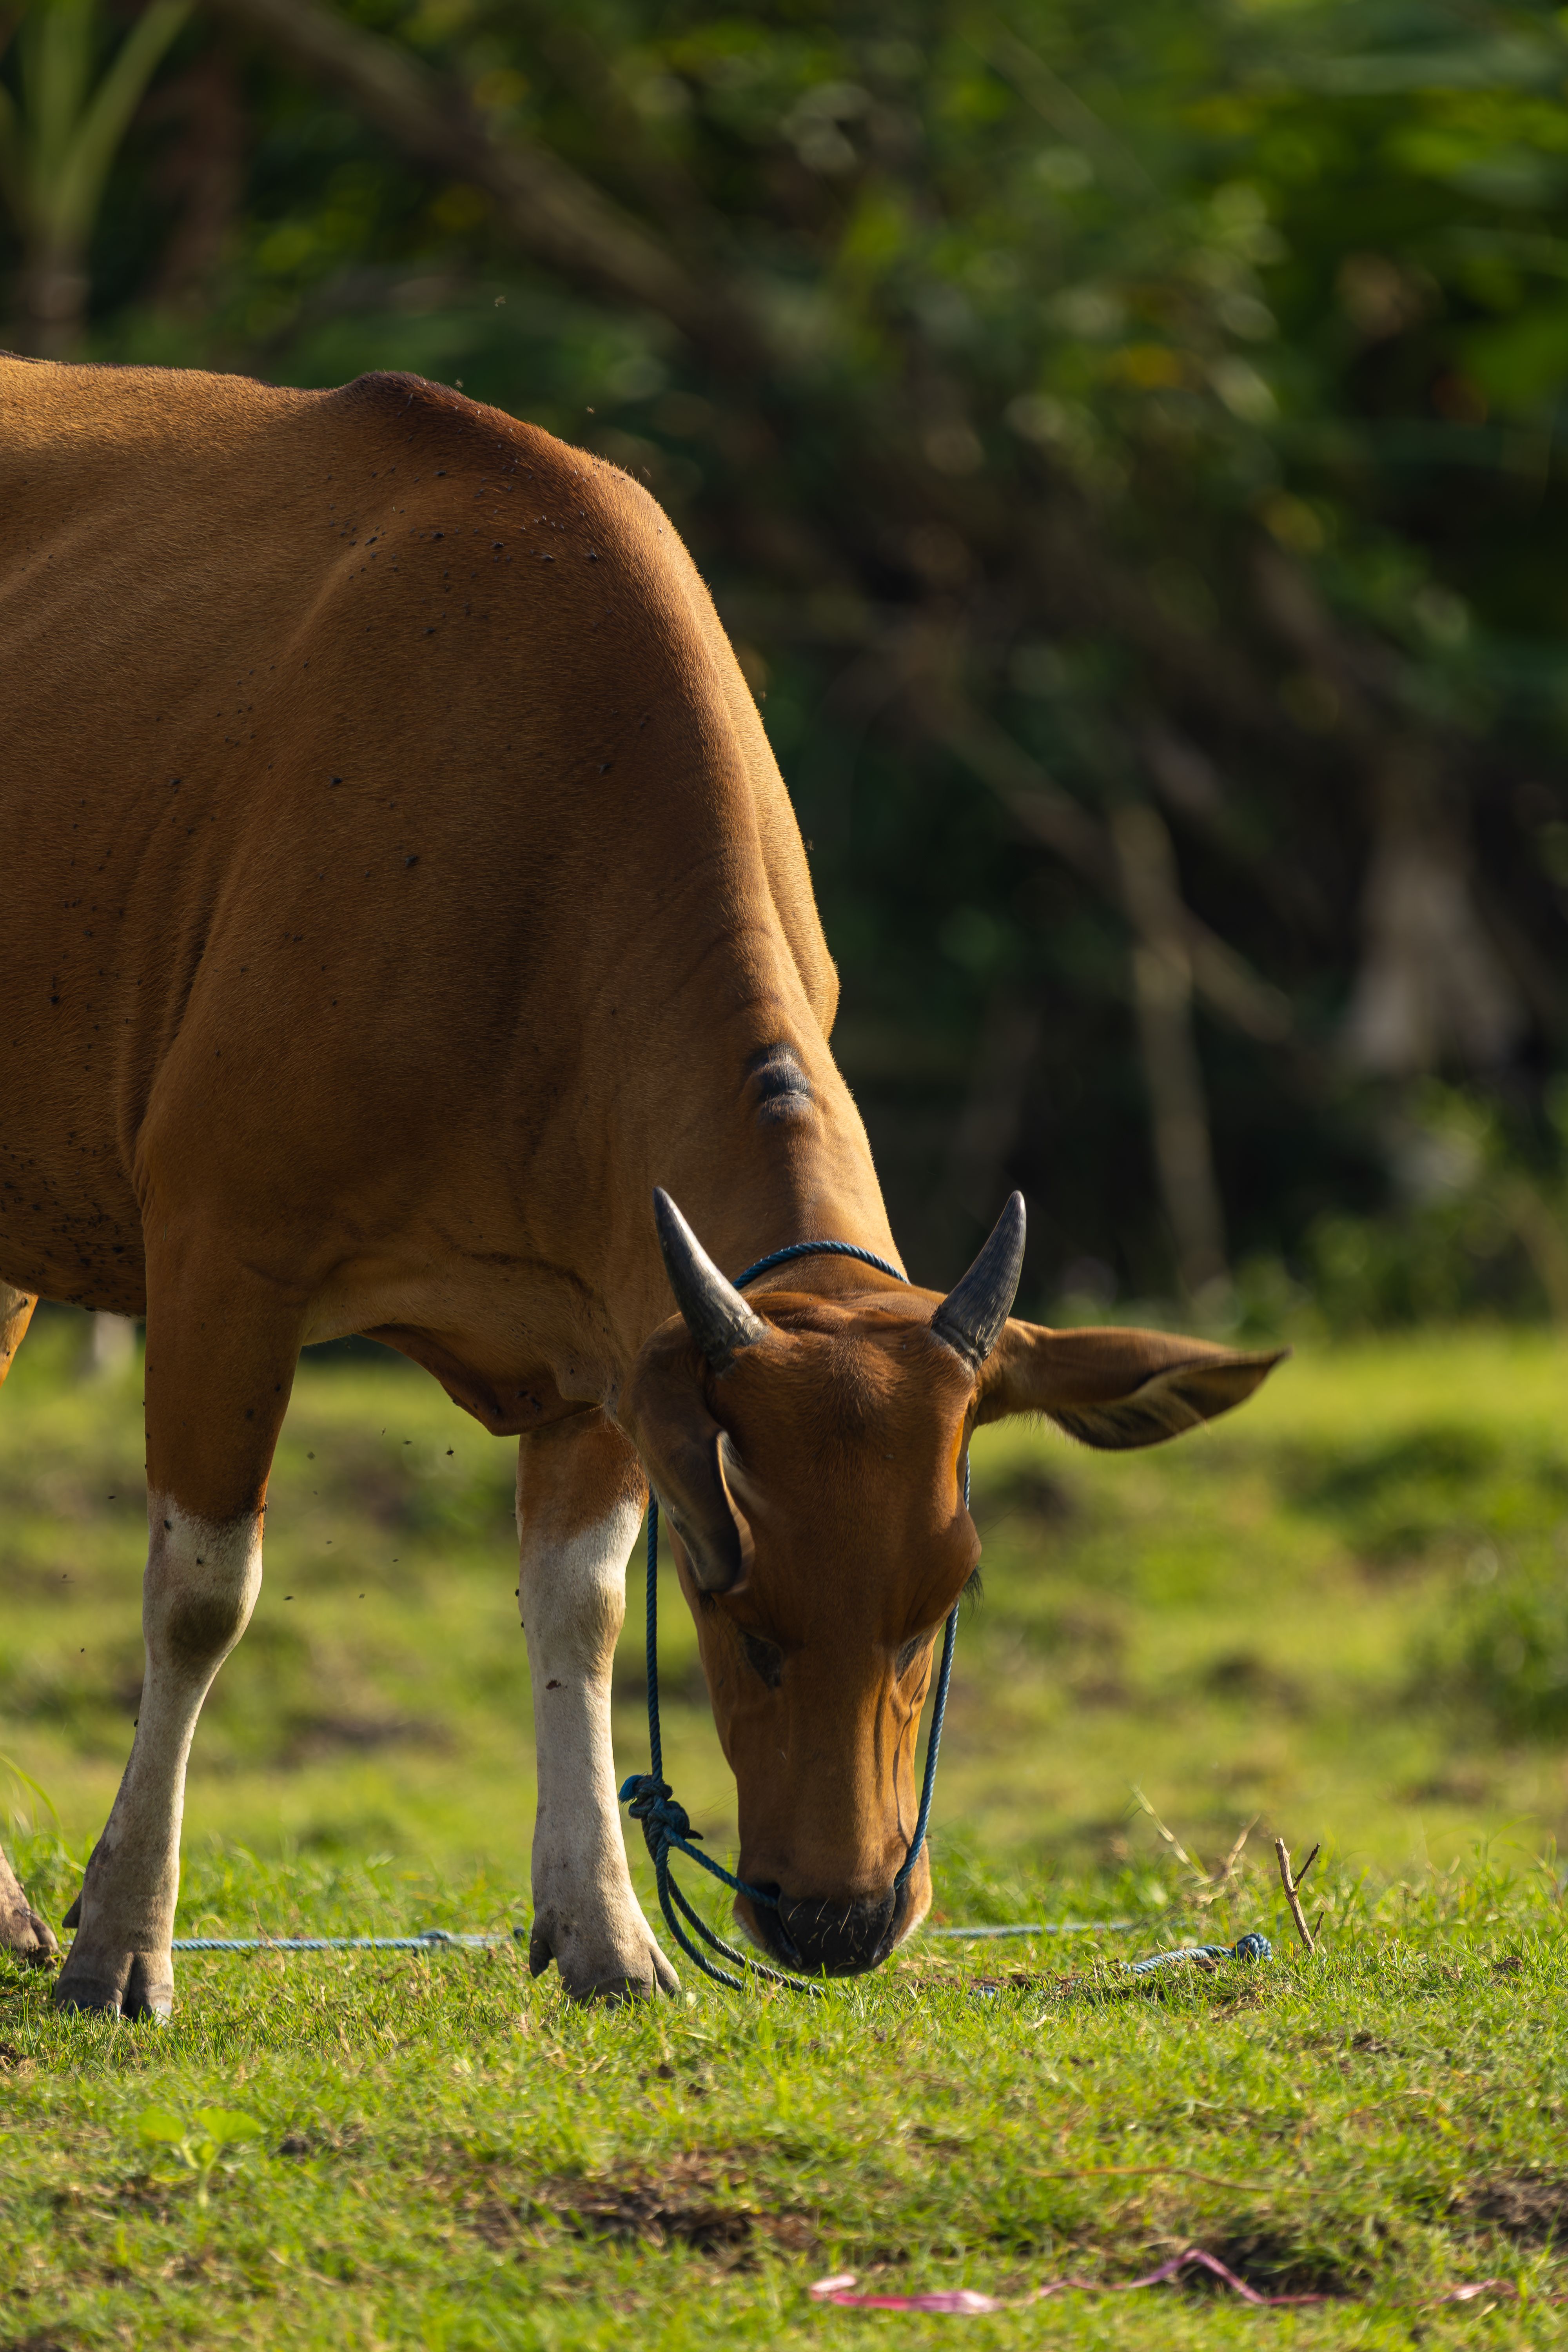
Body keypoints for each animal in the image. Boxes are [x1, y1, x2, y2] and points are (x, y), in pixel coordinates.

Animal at [0, 359, 1282, 2015]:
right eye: (738, 1599)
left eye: (946, 1596)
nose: (839, 1917)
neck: (526, 856)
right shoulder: (226, 1249)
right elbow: (205, 1591)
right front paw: (119, 1945)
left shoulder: (609, 1319)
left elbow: (581, 1605)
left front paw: (605, 1933)